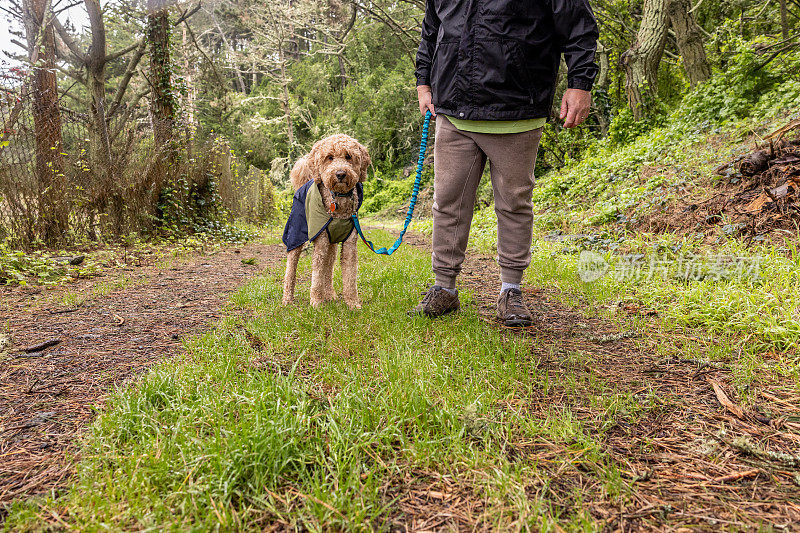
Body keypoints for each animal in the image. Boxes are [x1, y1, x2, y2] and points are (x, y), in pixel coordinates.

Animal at [280, 134, 370, 308]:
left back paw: (330, 294)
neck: (338, 198)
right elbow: (317, 275)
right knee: (291, 268)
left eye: (348, 156)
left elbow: (350, 276)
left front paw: (353, 303)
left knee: (329, 269)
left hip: (332, 245)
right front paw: (316, 302)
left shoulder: (350, 244)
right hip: (296, 235)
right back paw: (287, 299)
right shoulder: (320, 241)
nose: (340, 174)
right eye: (329, 157)